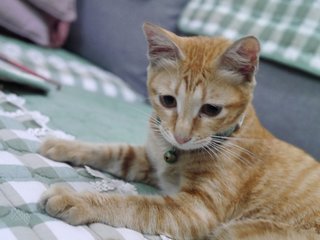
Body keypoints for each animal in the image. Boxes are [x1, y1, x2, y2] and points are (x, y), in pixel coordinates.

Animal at [38, 23, 320, 240]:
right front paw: (63, 145)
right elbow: (113, 150)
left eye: (211, 109)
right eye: (168, 101)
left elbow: (135, 205)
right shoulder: (150, 162)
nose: (181, 136)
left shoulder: (195, 209)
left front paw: (77, 200)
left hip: (237, 231)